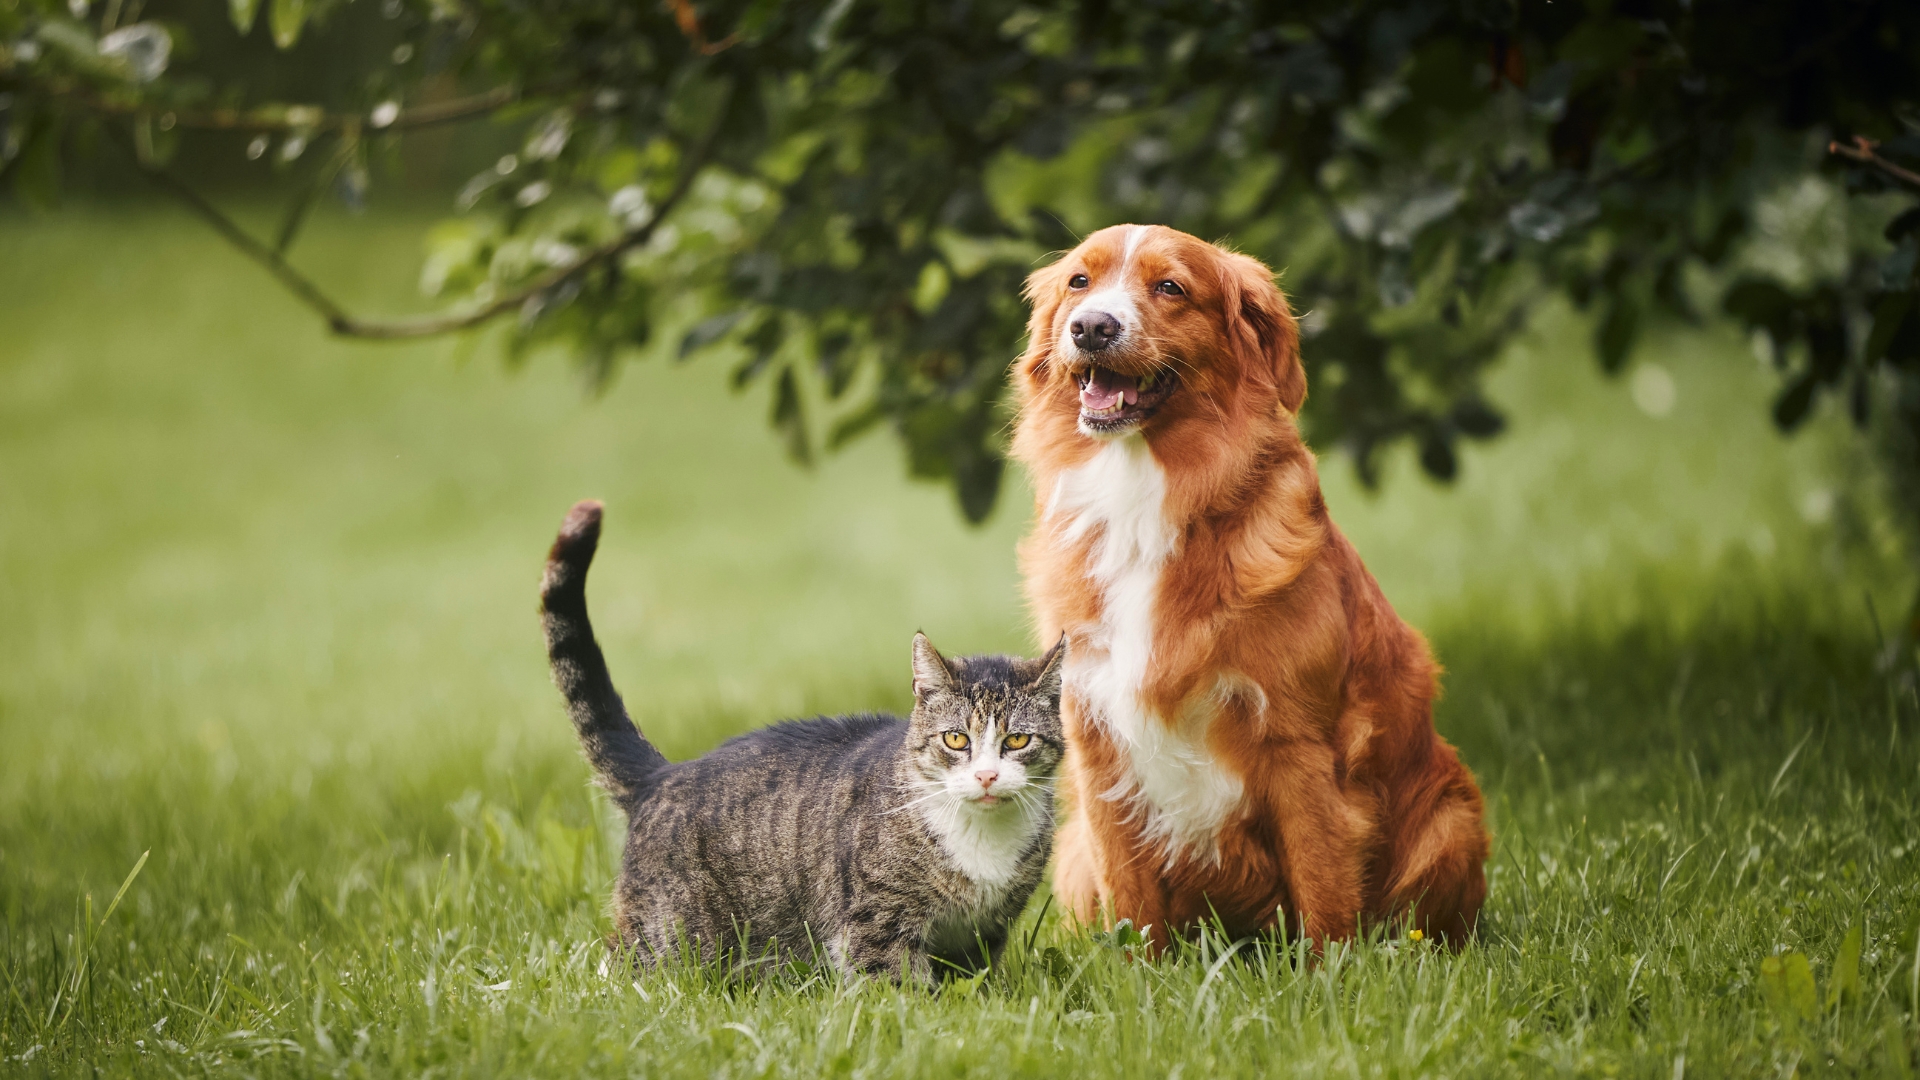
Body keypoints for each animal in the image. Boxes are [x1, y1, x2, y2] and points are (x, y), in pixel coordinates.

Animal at [541, 499, 1067, 980]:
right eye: (956, 739)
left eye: (1017, 741)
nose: (986, 776)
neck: (983, 844)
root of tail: (663, 774)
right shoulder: (877, 924)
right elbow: (898, 989)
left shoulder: (983, 933)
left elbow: (971, 984)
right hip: (671, 937)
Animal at [1013, 222, 1489, 945]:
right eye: (1079, 282)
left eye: (1171, 287)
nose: (1091, 327)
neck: (1144, 496)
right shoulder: (1099, 744)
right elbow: (1132, 909)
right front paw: (1136, 970)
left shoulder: (1300, 744)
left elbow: (1323, 890)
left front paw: (1331, 972)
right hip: (1071, 854)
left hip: (1451, 821)